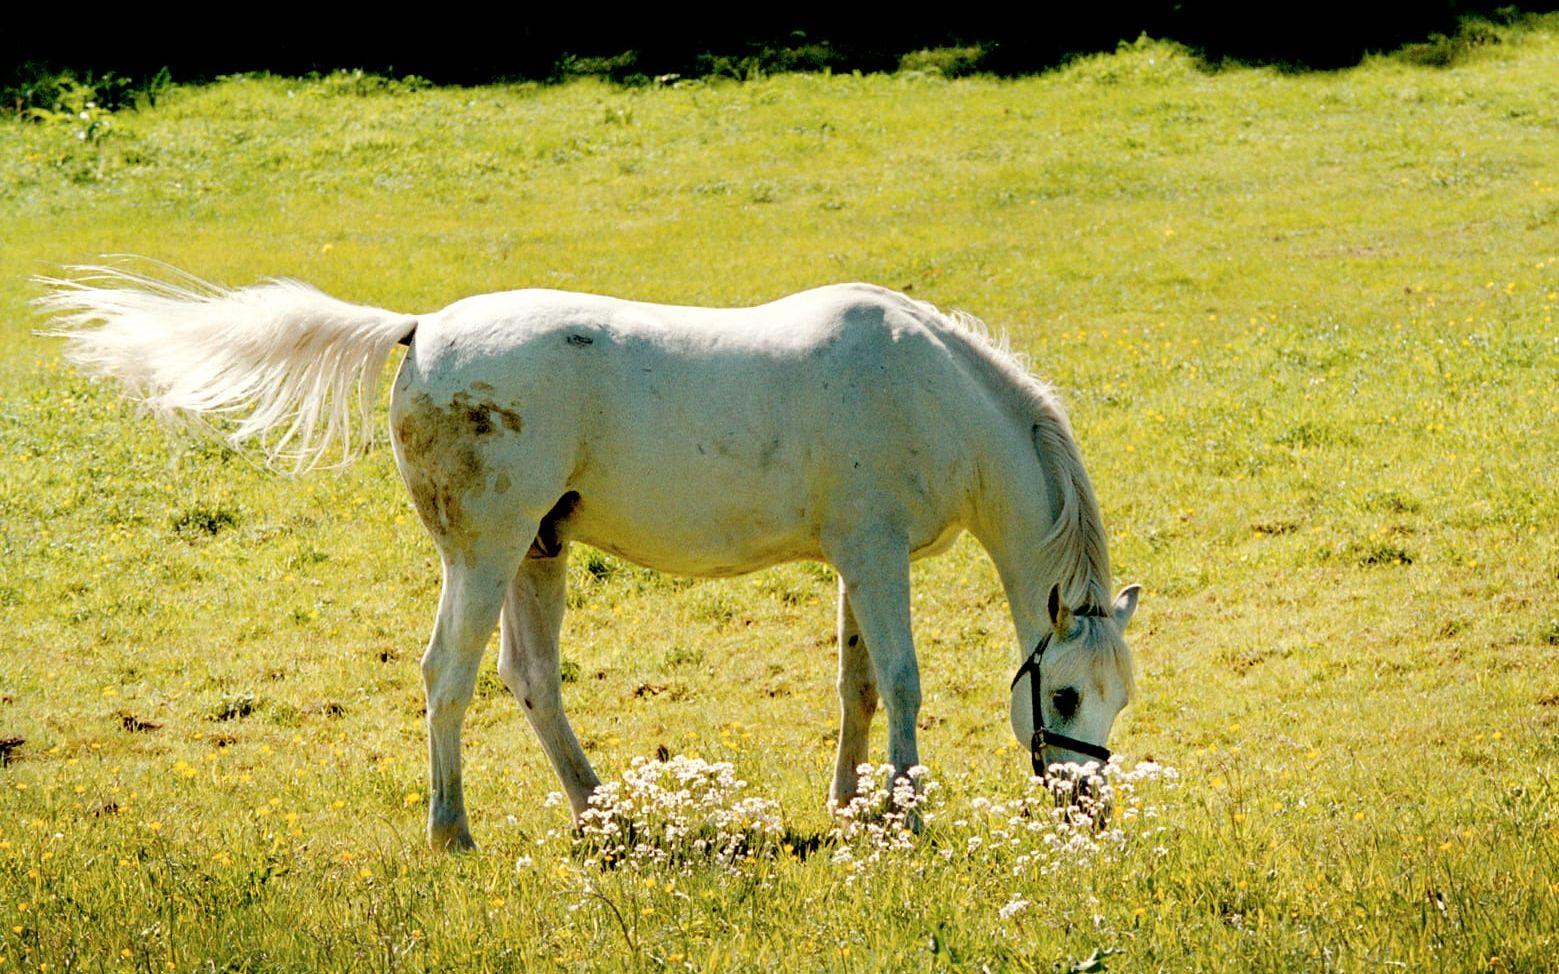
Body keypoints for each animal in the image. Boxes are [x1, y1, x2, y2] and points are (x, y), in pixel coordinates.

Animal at [42, 268, 1147, 847]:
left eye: (1117, 696)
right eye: (1060, 695)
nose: (1085, 805)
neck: (926, 387)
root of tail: (420, 331)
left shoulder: (852, 560)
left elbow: (858, 686)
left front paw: (848, 803)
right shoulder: (876, 557)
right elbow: (906, 681)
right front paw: (903, 814)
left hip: (535, 553)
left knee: (529, 678)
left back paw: (599, 811)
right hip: (484, 555)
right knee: (448, 676)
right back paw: (453, 830)